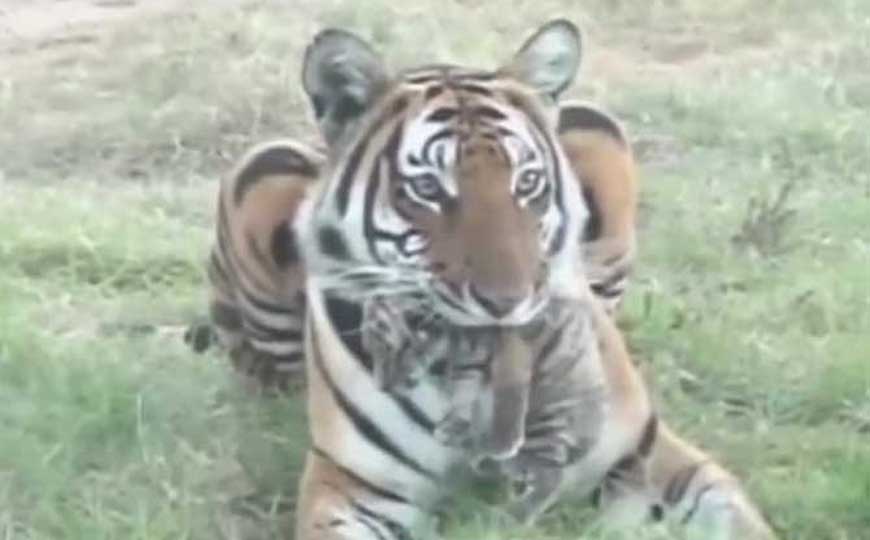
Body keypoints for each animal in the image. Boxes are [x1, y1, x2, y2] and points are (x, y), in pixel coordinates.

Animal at [284, 19, 777, 540]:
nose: (508, 301)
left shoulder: (645, 455)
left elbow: (738, 517)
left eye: (526, 182)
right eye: (428, 189)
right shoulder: (352, 485)